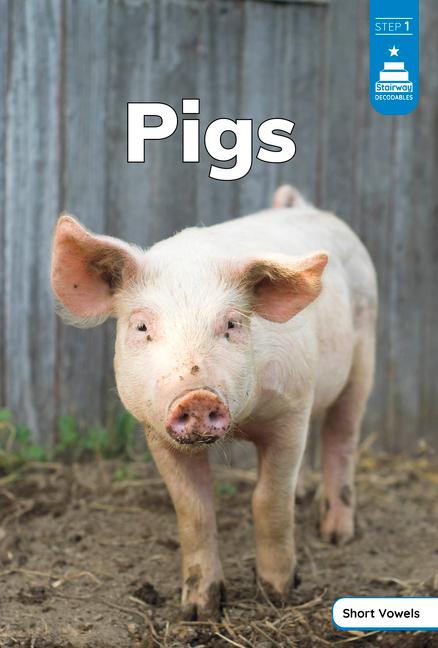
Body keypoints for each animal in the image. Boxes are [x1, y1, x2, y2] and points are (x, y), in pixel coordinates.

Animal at [51, 185, 377, 619]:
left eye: (232, 324)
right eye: (141, 326)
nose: (197, 395)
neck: (244, 423)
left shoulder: (292, 407)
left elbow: (268, 500)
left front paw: (277, 595)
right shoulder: (155, 431)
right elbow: (194, 509)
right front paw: (198, 610)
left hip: (364, 350)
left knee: (342, 436)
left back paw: (336, 535)